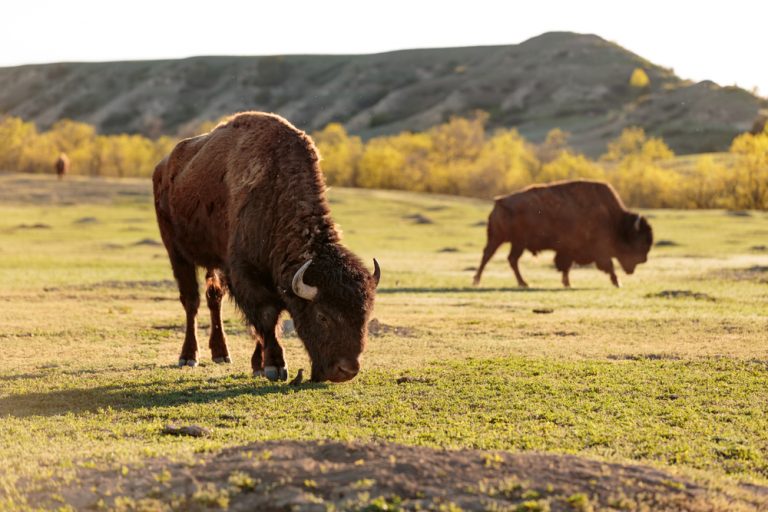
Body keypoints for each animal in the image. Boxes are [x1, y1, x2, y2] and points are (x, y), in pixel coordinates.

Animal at [152, 113, 380, 384]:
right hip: (177, 253)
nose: (347, 370)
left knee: (213, 299)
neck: (276, 193)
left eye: (365, 316)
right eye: (322, 316)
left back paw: (221, 354)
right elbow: (267, 318)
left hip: (213, 263)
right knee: (191, 302)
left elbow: (262, 324)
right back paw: (188, 357)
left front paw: (258, 366)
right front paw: (274, 366)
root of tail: (163, 167)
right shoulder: (246, 276)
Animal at [474, 181, 656, 288]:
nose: (643, 259)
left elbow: (566, 266)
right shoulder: (598, 250)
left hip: (511, 242)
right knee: (491, 256)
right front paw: (617, 282)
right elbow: (608, 265)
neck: (615, 220)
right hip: (504, 240)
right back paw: (481, 281)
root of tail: (499, 201)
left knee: (508, 259)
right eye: (639, 241)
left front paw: (567, 283)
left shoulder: (570, 250)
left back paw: (521, 283)